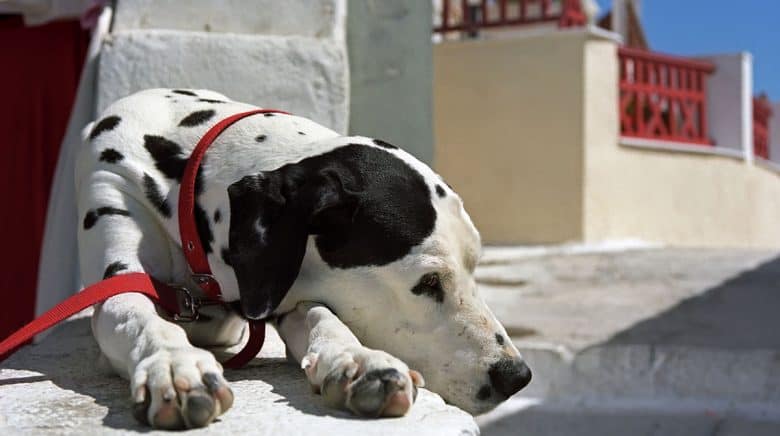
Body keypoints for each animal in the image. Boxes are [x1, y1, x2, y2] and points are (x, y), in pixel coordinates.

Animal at [77, 88, 532, 430]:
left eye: (476, 267)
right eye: (428, 283)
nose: (517, 377)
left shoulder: (286, 292)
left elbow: (319, 316)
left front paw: (358, 361)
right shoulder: (117, 255)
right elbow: (137, 314)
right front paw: (173, 364)